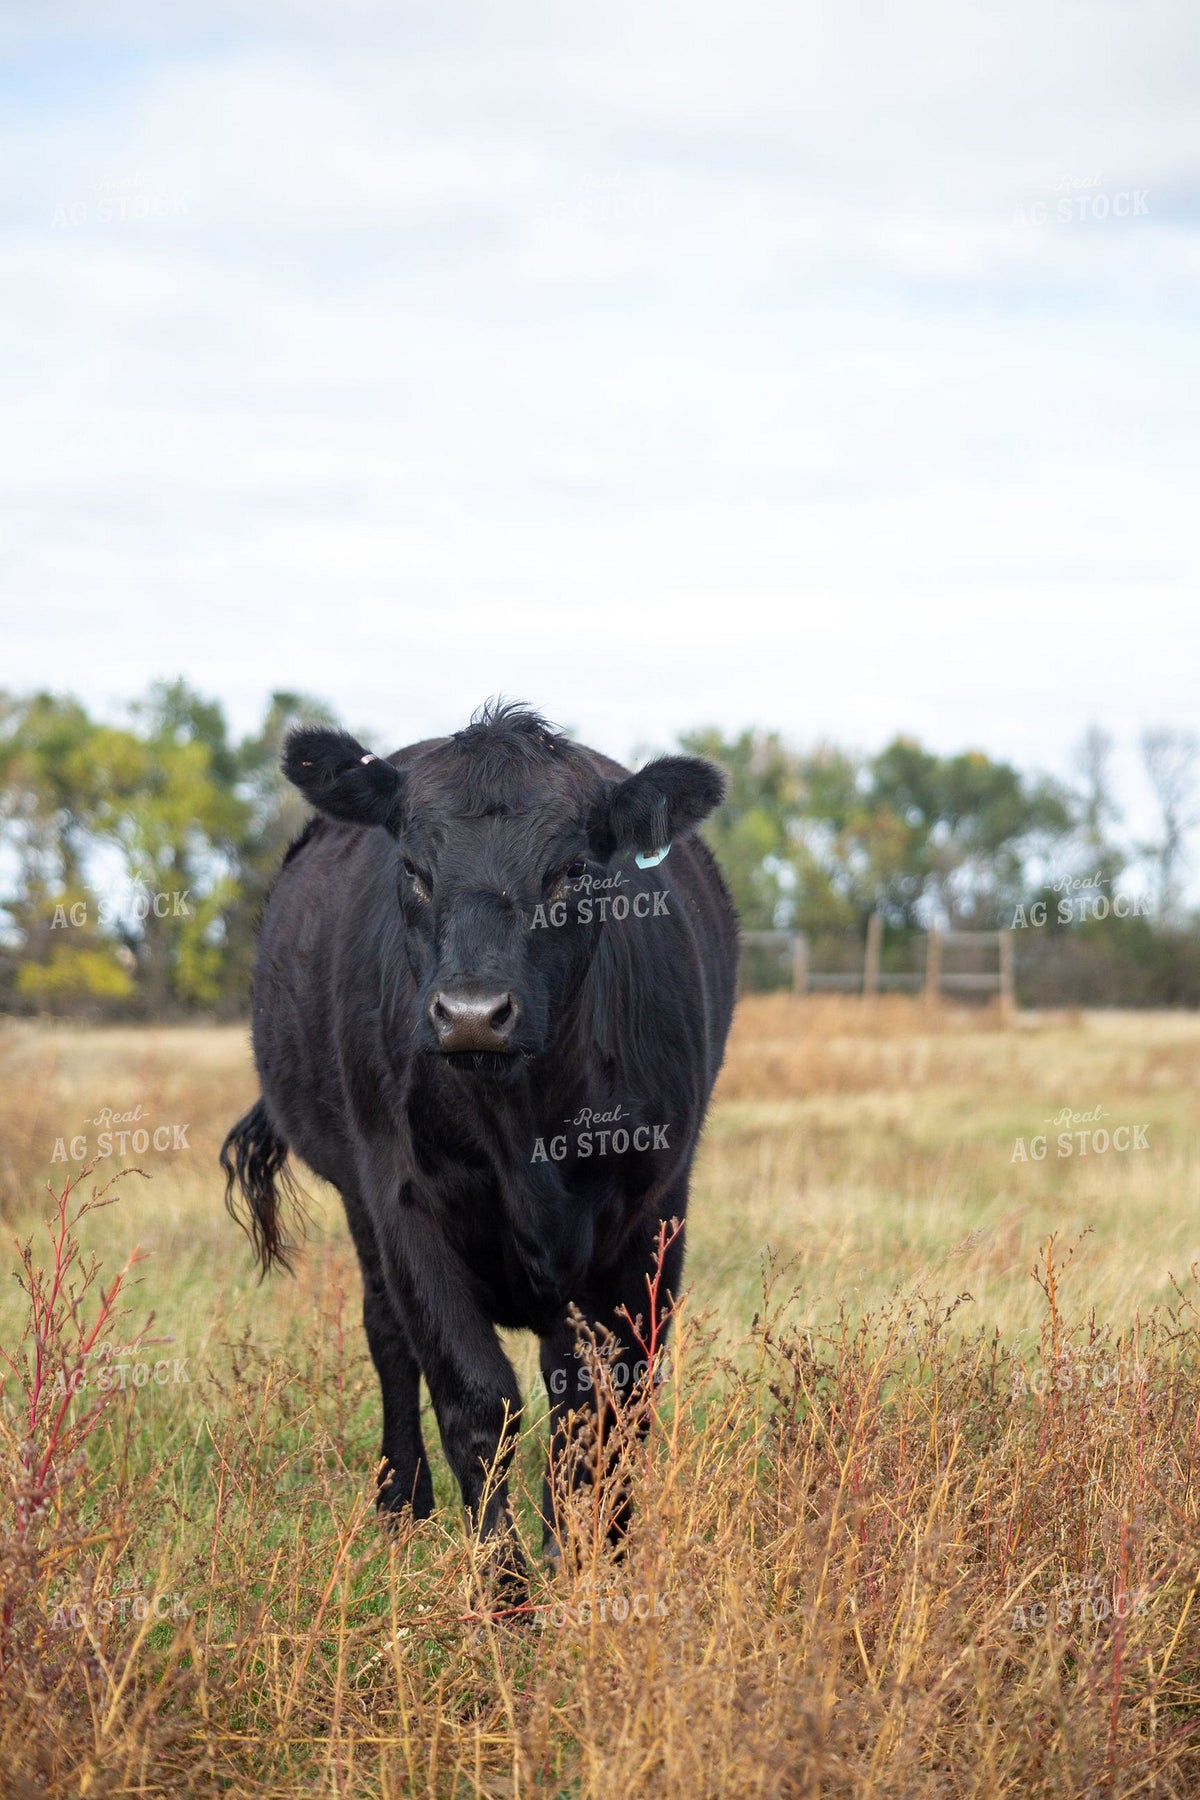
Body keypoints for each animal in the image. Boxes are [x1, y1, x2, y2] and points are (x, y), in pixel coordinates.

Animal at [220, 701, 738, 1605]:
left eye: (572, 871)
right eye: (415, 871)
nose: (470, 1013)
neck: (524, 1123)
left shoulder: (654, 1212)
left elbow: (609, 1405)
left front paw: (597, 1565)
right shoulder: (405, 1204)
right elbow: (477, 1404)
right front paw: (507, 1598)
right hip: (361, 1205)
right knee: (389, 1338)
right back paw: (401, 1505)